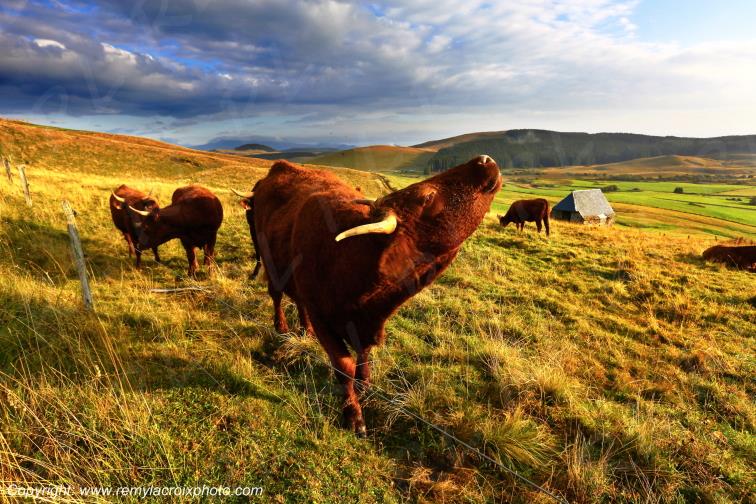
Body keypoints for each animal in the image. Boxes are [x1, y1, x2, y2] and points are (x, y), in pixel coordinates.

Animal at [235, 155, 501, 435]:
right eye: (427, 197)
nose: (484, 159)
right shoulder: (324, 319)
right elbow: (344, 366)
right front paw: (353, 415)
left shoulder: (366, 322)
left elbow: (364, 354)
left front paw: (364, 383)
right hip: (270, 261)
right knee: (276, 295)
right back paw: (281, 327)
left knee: (298, 302)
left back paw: (304, 330)